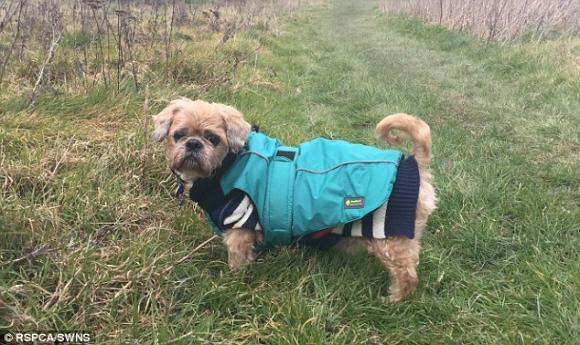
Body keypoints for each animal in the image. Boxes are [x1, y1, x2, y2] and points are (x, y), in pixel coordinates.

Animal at [154, 97, 436, 300]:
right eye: (178, 135)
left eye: (213, 139)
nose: (193, 144)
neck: (228, 166)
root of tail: (415, 163)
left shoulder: (239, 228)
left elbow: (237, 260)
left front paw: (231, 282)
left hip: (388, 236)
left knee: (407, 275)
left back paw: (393, 300)